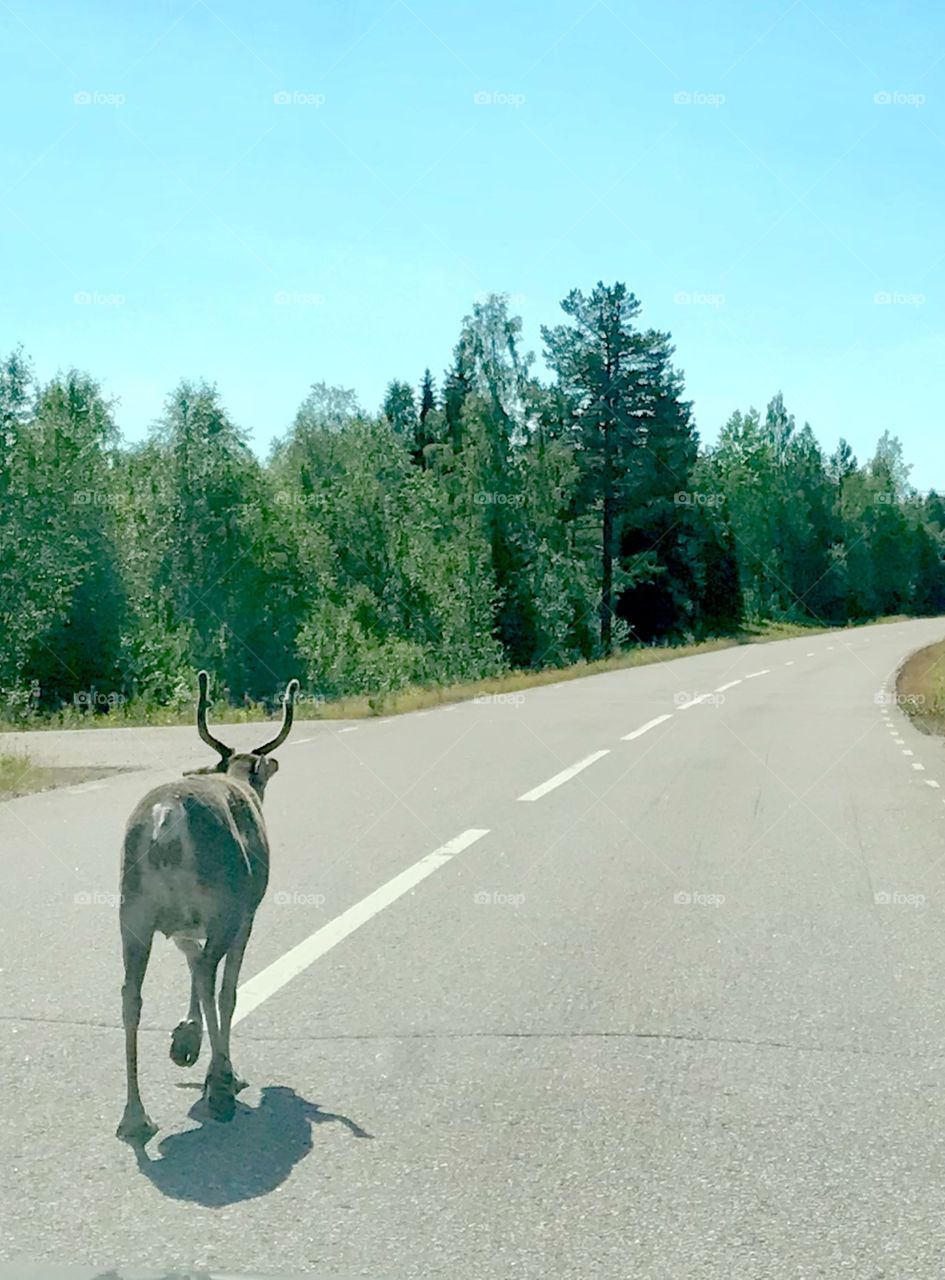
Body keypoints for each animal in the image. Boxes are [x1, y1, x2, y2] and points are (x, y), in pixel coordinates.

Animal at [116, 670, 299, 1144]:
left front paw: (186, 1036)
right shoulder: (247, 913)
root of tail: (165, 820)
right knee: (210, 976)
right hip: (222, 908)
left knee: (131, 996)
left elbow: (190, 965)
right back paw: (220, 1084)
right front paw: (209, 1058)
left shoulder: (181, 929)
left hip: (133, 913)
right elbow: (225, 990)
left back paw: (135, 1116)